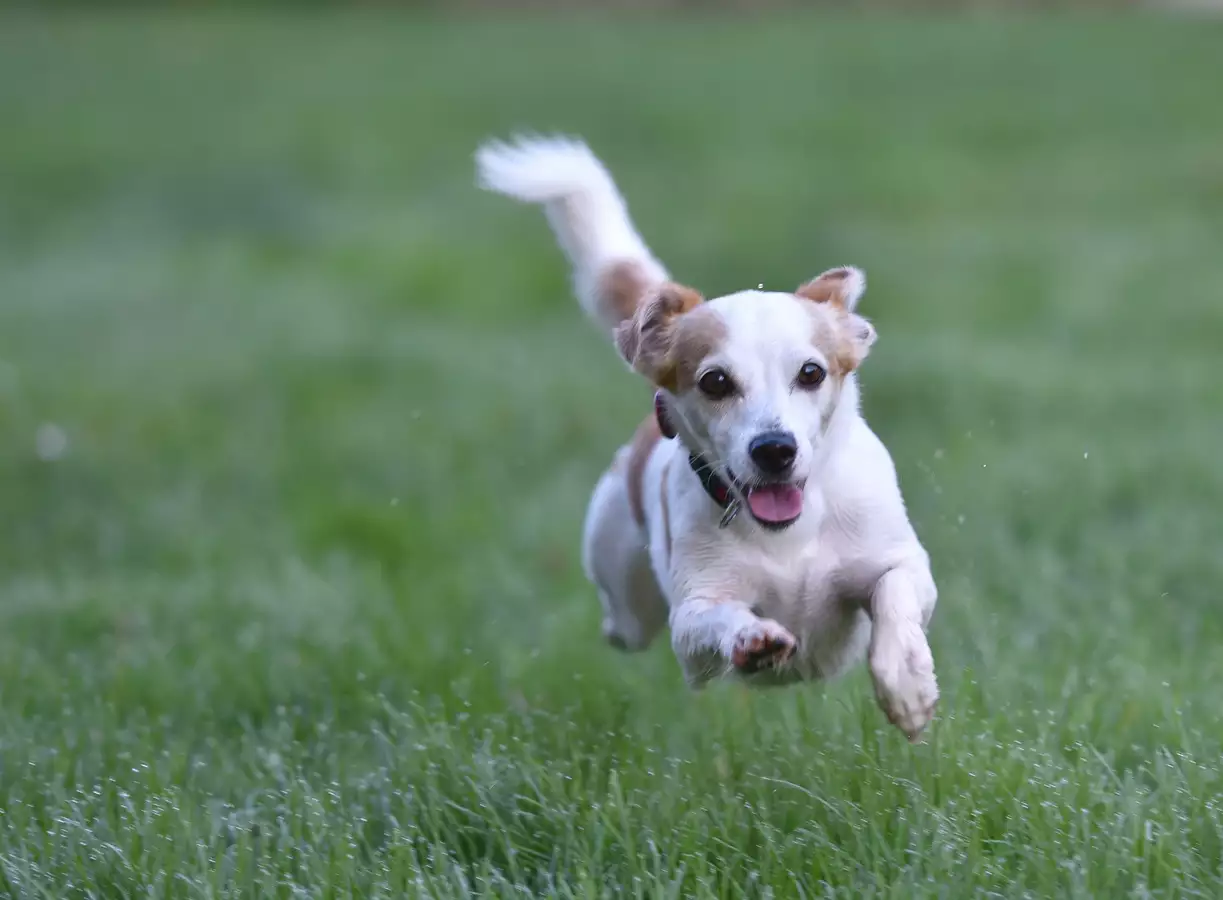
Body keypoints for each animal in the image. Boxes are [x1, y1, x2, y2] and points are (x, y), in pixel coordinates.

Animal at [474, 135, 934, 738]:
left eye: (811, 372)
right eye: (715, 381)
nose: (775, 449)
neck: (789, 533)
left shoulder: (899, 560)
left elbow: (896, 591)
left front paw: (907, 686)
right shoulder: (693, 622)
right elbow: (714, 619)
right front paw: (753, 638)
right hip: (624, 586)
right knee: (622, 625)